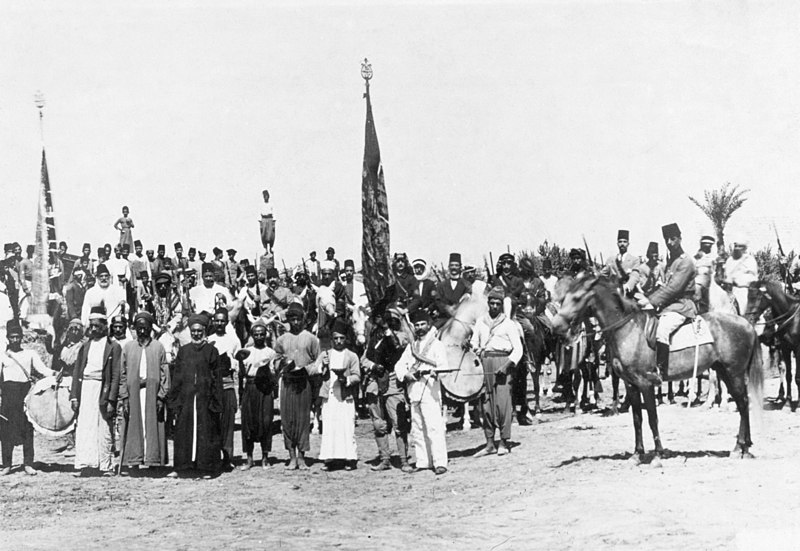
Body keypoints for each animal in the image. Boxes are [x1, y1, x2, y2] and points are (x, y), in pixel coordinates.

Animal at [552, 274, 764, 464]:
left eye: (577, 298)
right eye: (564, 297)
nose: (556, 327)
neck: (628, 330)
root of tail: (746, 324)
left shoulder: (646, 384)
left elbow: (652, 418)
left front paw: (658, 455)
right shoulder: (631, 385)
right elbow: (637, 419)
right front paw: (637, 454)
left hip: (734, 374)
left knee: (743, 404)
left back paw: (740, 448)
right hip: (725, 372)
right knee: (742, 403)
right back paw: (744, 447)